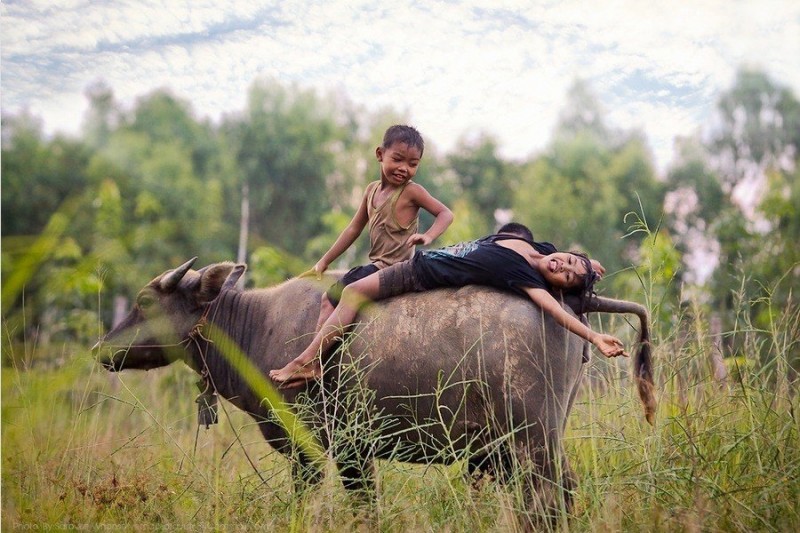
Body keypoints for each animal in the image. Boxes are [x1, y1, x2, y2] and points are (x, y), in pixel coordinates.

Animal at [94, 258, 656, 524]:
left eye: (146, 299)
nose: (103, 348)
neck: (256, 326)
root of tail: (571, 300)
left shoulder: (322, 451)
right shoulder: (355, 454)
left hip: (533, 439)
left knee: (549, 499)